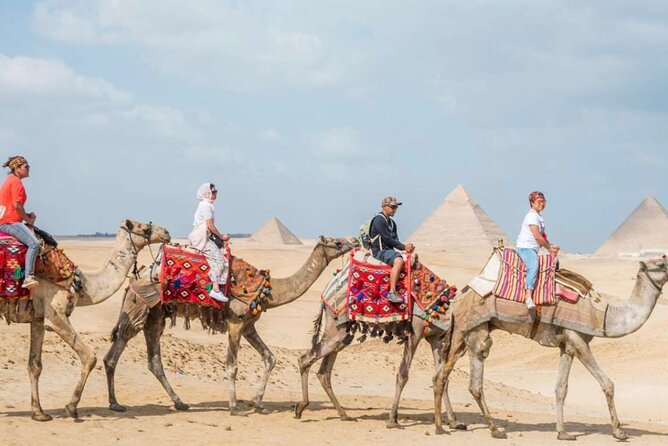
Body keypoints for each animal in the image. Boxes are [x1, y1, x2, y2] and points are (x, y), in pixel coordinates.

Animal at [0, 219, 170, 421]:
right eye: (144, 228)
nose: (166, 233)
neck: (82, 283)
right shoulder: (55, 314)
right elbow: (89, 356)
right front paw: (71, 407)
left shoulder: (38, 318)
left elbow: (35, 365)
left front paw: (39, 413)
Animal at [103, 236, 358, 413]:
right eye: (336, 242)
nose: (354, 241)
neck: (268, 290)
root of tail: (134, 277)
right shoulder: (235, 323)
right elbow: (232, 366)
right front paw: (235, 407)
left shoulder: (249, 326)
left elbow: (270, 357)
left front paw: (257, 403)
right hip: (138, 307)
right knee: (117, 349)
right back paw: (115, 404)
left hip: (155, 316)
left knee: (154, 360)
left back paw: (180, 403)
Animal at [433, 257, 668, 440]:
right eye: (660, 263)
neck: (603, 315)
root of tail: (460, 298)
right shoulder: (578, 339)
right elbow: (608, 384)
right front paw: (619, 432)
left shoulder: (567, 345)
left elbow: (560, 388)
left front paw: (563, 432)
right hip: (476, 329)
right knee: (470, 378)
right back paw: (478, 429)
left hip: (463, 332)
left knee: (442, 375)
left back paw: (454, 425)